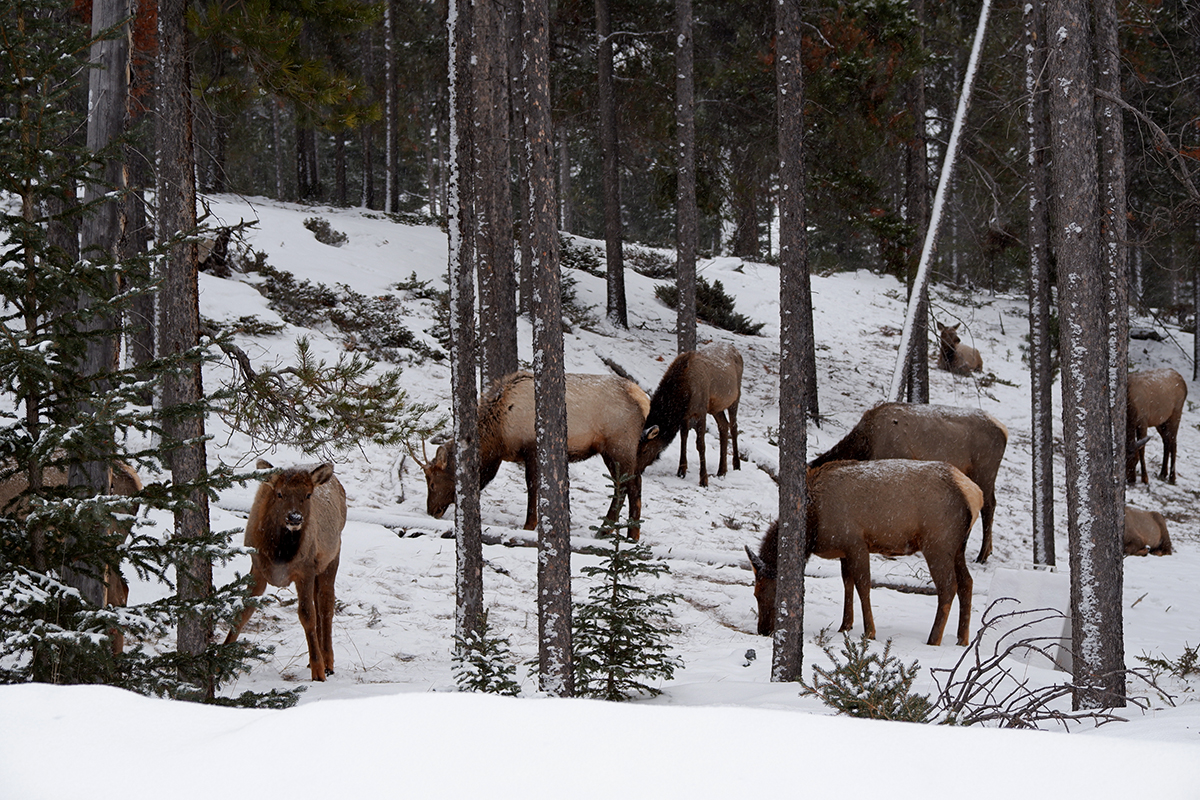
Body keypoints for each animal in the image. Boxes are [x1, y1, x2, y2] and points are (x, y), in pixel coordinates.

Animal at [225, 462, 348, 681]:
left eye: (308, 494)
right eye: (280, 493)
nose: (294, 517)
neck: (279, 554)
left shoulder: (305, 570)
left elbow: (307, 615)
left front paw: (318, 671)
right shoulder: (257, 568)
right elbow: (242, 612)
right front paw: (219, 661)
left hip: (332, 557)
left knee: (326, 604)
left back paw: (327, 662)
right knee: (319, 601)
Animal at [417, 374, 652, 537]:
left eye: (432, 483)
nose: (431, 510)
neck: (499, 436)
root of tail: (643, 399)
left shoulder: (531, 449)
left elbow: (532, 487)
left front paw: (529, 524)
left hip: (619, 446)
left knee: (628, 487)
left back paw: (611, 531)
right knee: (631, 485)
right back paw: (628, 534)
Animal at [638, 340, 739, 484]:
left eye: (645, 451)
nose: (635, 470)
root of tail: (735, 349)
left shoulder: (701, 411)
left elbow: (700, 444)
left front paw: (704, 479)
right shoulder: (686, 415)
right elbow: (683, 438)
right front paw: (681, 471)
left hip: (735, 398)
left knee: (734, 427)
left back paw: (736, 465)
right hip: (715, 407)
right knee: (724, 426)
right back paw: (721, 471)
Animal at [744, 460, 979, 647]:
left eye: (774, 593)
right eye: (755, 594)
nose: (763, 630)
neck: (813, 524)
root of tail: (975, 495)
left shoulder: (856, 542)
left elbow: (863, 585)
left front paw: (870, 632)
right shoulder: (844, 549)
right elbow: (847, 582)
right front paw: (845, 625)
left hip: (937, 542)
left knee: (948, 587)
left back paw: (934, 639)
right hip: (958, 546)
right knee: (967, 582)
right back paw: (962, 639)